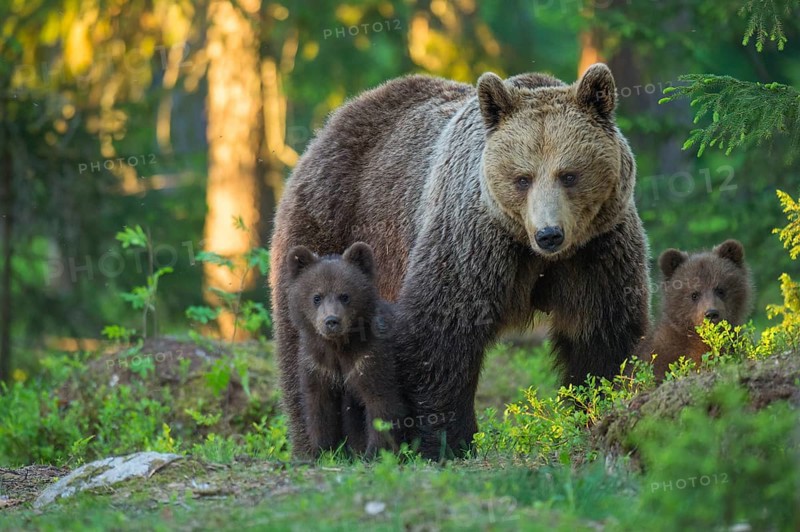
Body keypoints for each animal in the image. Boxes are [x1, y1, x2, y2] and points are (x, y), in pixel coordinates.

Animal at [285, 241, 407, 457]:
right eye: (317, 297)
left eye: (345, 296)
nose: (331, 321)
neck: (338, 346)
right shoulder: (318, 364)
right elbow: (320, 408)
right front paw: (321, 450)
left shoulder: (369, 357)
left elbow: (381, 403)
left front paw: (374, 453)